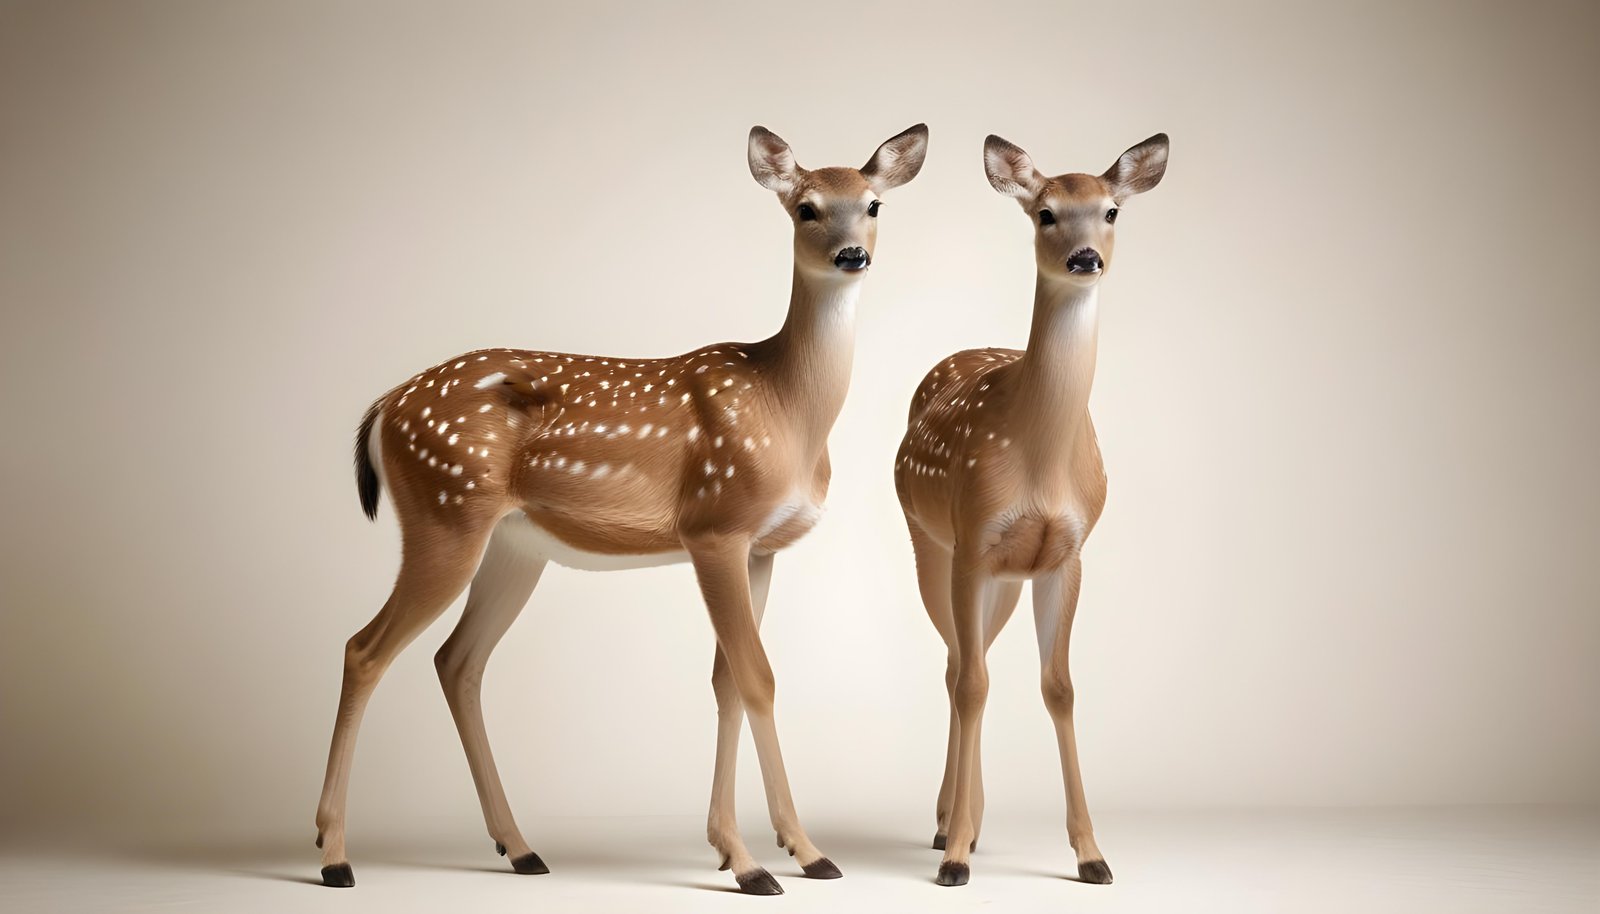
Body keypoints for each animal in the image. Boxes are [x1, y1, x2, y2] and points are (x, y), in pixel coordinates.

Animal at [313, 124, 928, 894]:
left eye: (874, 204)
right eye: (806, 208)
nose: (852, 255)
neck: (787, 409)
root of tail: (385, 405)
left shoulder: (760, 548)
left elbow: (728, 681)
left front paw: (751, 849)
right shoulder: (714, 525)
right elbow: (757, 677)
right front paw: (777, 858)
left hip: (511, 544)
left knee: (457, 661)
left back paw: (520, 847)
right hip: (444, 510)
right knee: (364, 649)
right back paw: (334, 855)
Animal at [893, 133, 1168, 887]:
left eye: (1111, 210)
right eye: (1045, 213)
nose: (1086, 258)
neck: (1041, 465)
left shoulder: (1065, 554)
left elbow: (1060, 687)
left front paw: (1093, 855)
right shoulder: (973, 540)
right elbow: (974, 686)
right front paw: (956, 858)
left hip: (1006, 579)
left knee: (970, 659)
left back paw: (963, 818)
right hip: (929, 543)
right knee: (960, 668)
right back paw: (949, 827)